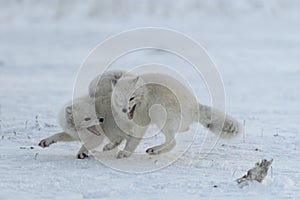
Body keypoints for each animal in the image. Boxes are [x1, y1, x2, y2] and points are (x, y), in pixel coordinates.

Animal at [110, 72, 244, 155]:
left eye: (131, 98)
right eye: (119, 98)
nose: (124, 110)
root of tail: (195, 107)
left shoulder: (142, 121)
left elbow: (133, 140)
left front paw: (125, 153)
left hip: (158, 113)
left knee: (173, 142)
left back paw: (155, 150)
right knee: (181, 132)